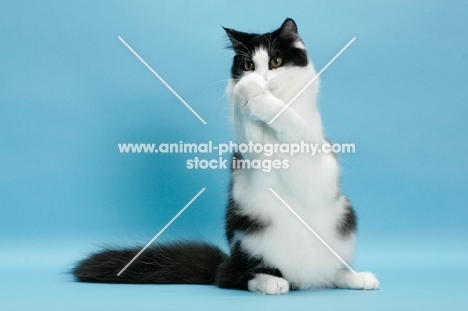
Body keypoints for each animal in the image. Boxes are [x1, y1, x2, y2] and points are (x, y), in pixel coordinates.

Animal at [74, 18, 380, 296]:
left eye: (276, 61)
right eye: (248, 66)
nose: (261, 79)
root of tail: (305, 280)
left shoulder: (308, 145)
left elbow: (289, 120)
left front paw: (261, 100)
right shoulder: (252, 153)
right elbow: (243, 115)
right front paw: (245, 90)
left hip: (344, 217)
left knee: (329, 274)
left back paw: (358, 278)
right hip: (245, 232)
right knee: (234, 276)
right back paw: (271, 282)